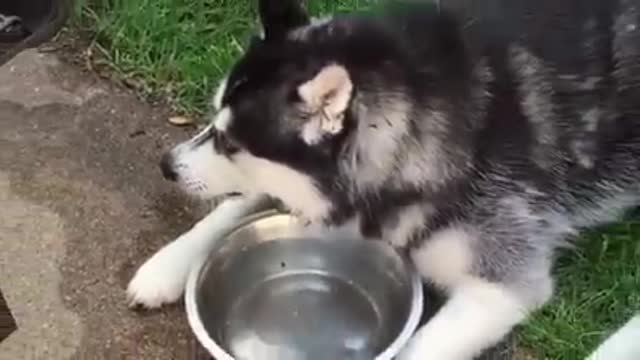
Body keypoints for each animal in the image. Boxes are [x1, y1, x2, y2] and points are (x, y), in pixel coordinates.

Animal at [127, 1, 640, 358]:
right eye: (215, 123)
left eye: (232, 144)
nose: (167, 164)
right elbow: (234, 206)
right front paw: (167, 265)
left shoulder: (502, 285)